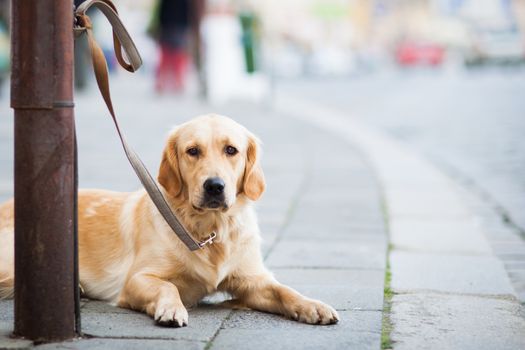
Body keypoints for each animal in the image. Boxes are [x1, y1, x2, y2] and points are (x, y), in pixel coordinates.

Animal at [0, 115, 338, 328]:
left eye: (232, 150)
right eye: (193, 151)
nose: (214, 186)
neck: (209, 230)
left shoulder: (252, 279)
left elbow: (285, 291)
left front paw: (313, 306)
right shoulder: (137, 279)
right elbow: (168, 287)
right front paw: (172, 308)